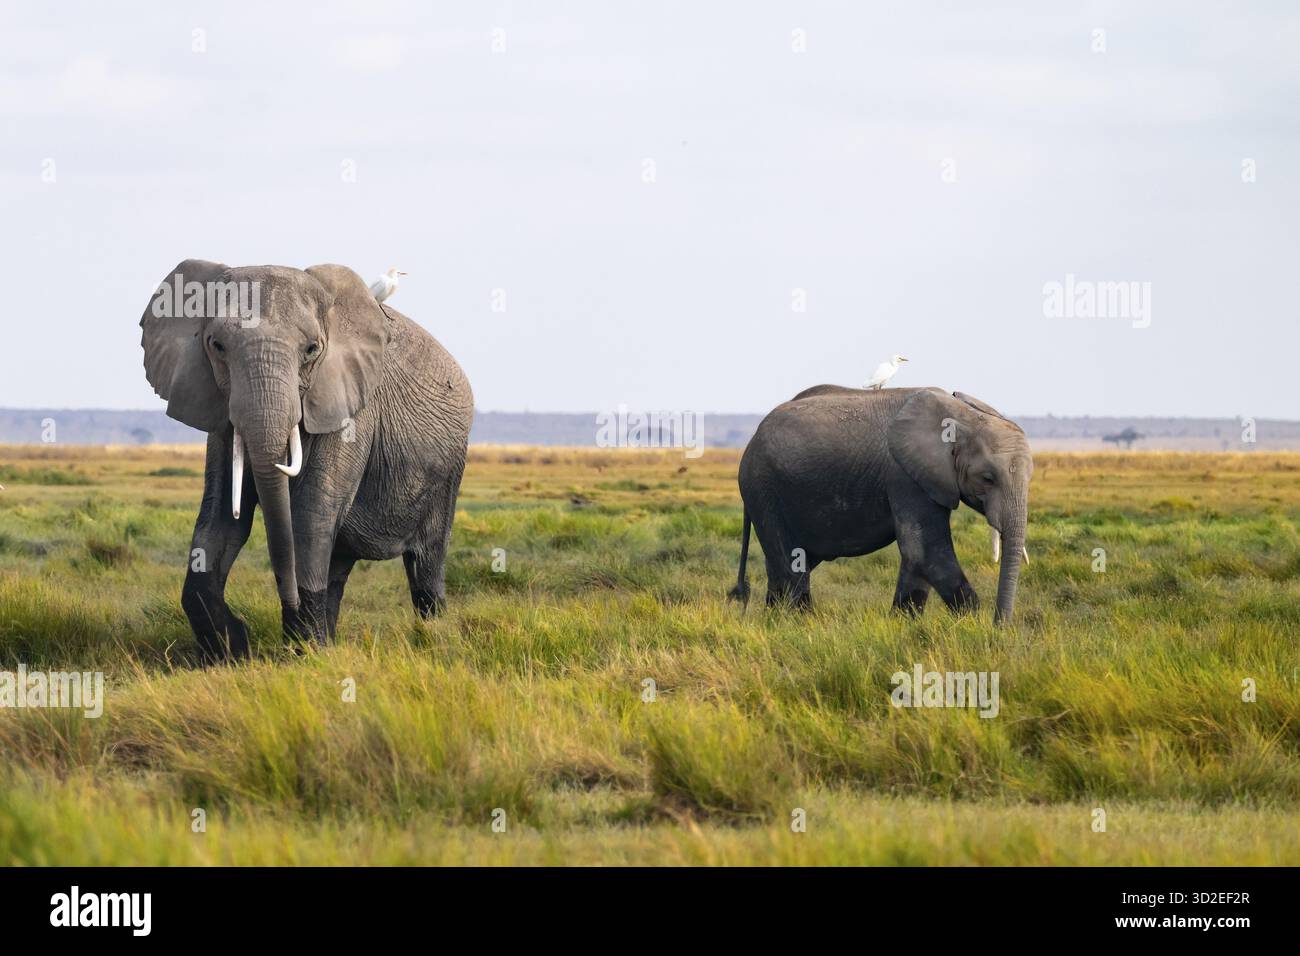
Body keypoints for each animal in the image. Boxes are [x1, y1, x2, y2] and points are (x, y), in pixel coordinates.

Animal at [140, 260, 473, 661]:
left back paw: (433, 636)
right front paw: (234, 647)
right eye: (216, 346)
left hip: (448, 472)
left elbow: (311, 514)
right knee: (338, 567)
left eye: (312, 350)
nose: (287, 604)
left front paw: (304, 653)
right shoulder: (220, 409)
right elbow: (220, 516)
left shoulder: (352, 406)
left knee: (426, 563)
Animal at [729, 385, 1032, 623]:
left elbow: (916, 556)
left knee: (788, 563)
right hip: (762, 487)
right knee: (791, 562)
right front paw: (975, 625)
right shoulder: (904, 474)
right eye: (987, 478)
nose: (1000, 626)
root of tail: (752, 439)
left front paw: (903, 624)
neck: (963, 416)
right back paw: (803, 624)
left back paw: (775, 620)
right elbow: (924, 551)